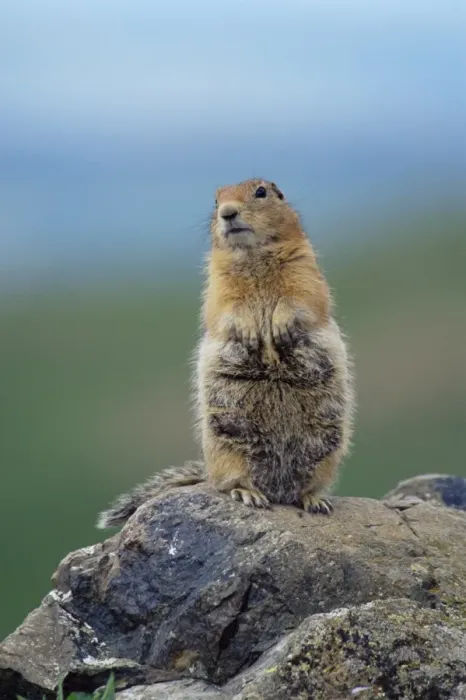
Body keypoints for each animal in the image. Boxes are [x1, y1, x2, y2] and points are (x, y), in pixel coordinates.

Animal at [97, 178, 355, 528]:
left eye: (261, 192)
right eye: (216, 200)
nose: (227, 213)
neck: (253, 255)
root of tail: (278, 489)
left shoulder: (305, 267)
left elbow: (304, 297)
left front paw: (281, 327)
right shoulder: (217, 282)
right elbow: (225, 308)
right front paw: (249, 332)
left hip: (327, 447)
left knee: (308, 484)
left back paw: (314, 499)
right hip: (227, 442)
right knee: (230, 482)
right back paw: (249, 494)